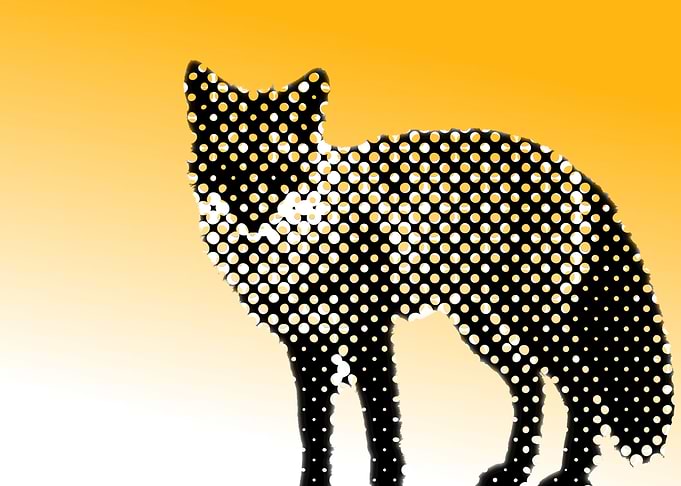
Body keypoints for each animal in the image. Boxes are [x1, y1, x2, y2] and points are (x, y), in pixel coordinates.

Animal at [183, 61, 674, 486]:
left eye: (281, 168)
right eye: (227, 166)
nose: (252, 217)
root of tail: (572, 169)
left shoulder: (368, 336)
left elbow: (381, 427)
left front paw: (387, 481)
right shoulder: (308, 348)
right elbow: (314, 433)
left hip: (538, 322)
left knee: (584, 393)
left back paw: (569, 478)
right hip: (486, 326)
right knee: (532, 387)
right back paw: (514, 472)